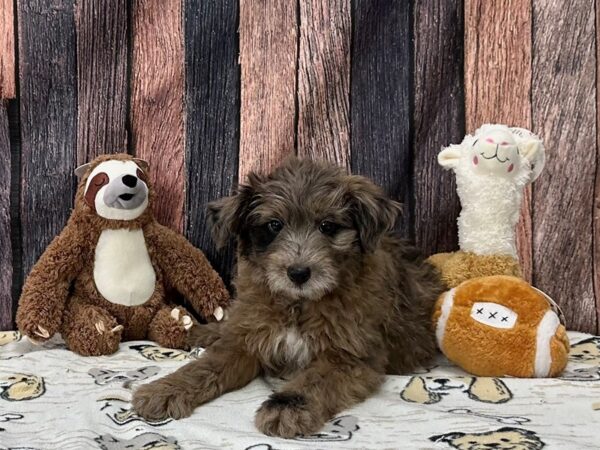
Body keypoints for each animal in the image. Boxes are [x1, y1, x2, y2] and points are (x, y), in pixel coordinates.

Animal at [132, 157, 440, 436]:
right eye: (274, 225)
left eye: (328, 226)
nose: (299, 273)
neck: (298, 304)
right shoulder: (246, 342)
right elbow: (206, 366)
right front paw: (166, 389)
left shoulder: (350, 358)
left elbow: (312, 382)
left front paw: (286, 410)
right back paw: (196, 331)